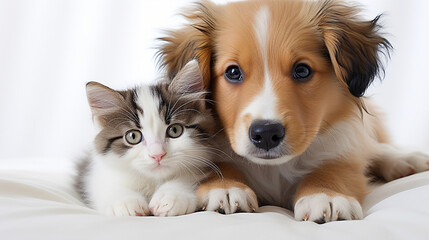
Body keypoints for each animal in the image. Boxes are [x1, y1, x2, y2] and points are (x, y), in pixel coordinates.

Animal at [74, 59, 219, 216]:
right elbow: (106, 186)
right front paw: (125, 202)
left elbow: (189, 175)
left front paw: (171, 196)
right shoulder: (93, 174)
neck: (153, 181)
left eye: (175, 130)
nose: (157, 155)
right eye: (133, 136)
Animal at [157, 0, 428, 222]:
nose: (266, 133)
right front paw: (226, 188)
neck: (273, 169)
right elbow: (217, 165)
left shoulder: (341, 144)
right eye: (233, 72)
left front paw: (325, 194)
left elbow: (336, 167)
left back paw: (404, 158)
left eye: (302, 70)